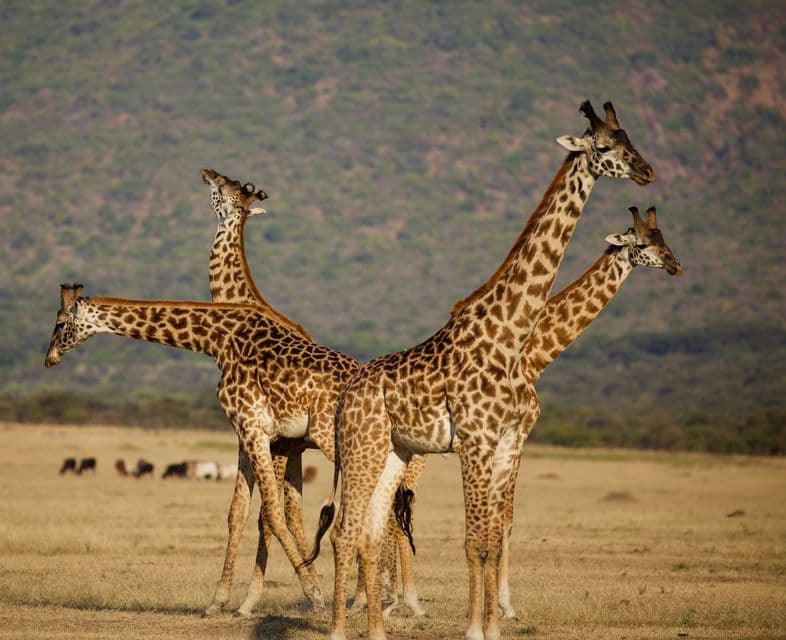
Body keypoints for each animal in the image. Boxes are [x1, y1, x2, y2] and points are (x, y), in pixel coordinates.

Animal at [44, 284, 360, 610]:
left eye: (59, 323)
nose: (49, 359)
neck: (218, 340)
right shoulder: (251, 433)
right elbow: (239, 511)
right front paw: (219, 600)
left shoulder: (252, 427)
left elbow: (271, 513)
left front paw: (314, 594)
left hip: (332, 441)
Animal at [308, 99, 656, 640]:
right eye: (604, 146)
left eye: (630, 139)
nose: (645, 170)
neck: (510, 335)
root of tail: (348, 392)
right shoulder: (474, 440)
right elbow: (476, 541)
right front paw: (475, 628)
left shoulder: (506, 442)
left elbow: (494, 537)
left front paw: (492, 626)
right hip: (362, 448)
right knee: (345, 531)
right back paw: (341, 631)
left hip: (394, 453)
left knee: (367, 532)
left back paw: (377, 631)